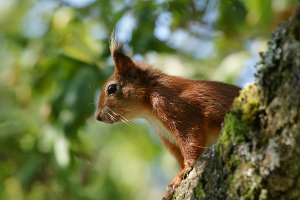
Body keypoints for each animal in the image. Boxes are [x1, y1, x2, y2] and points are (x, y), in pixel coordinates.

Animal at [96, 35, 241, 199]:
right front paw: (171, 188)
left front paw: (182, 173)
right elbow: (180, 156)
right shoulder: (168, 138)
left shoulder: (177, 110)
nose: (98, 117)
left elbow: (192, 142)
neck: (149, 112)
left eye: (111, 88)